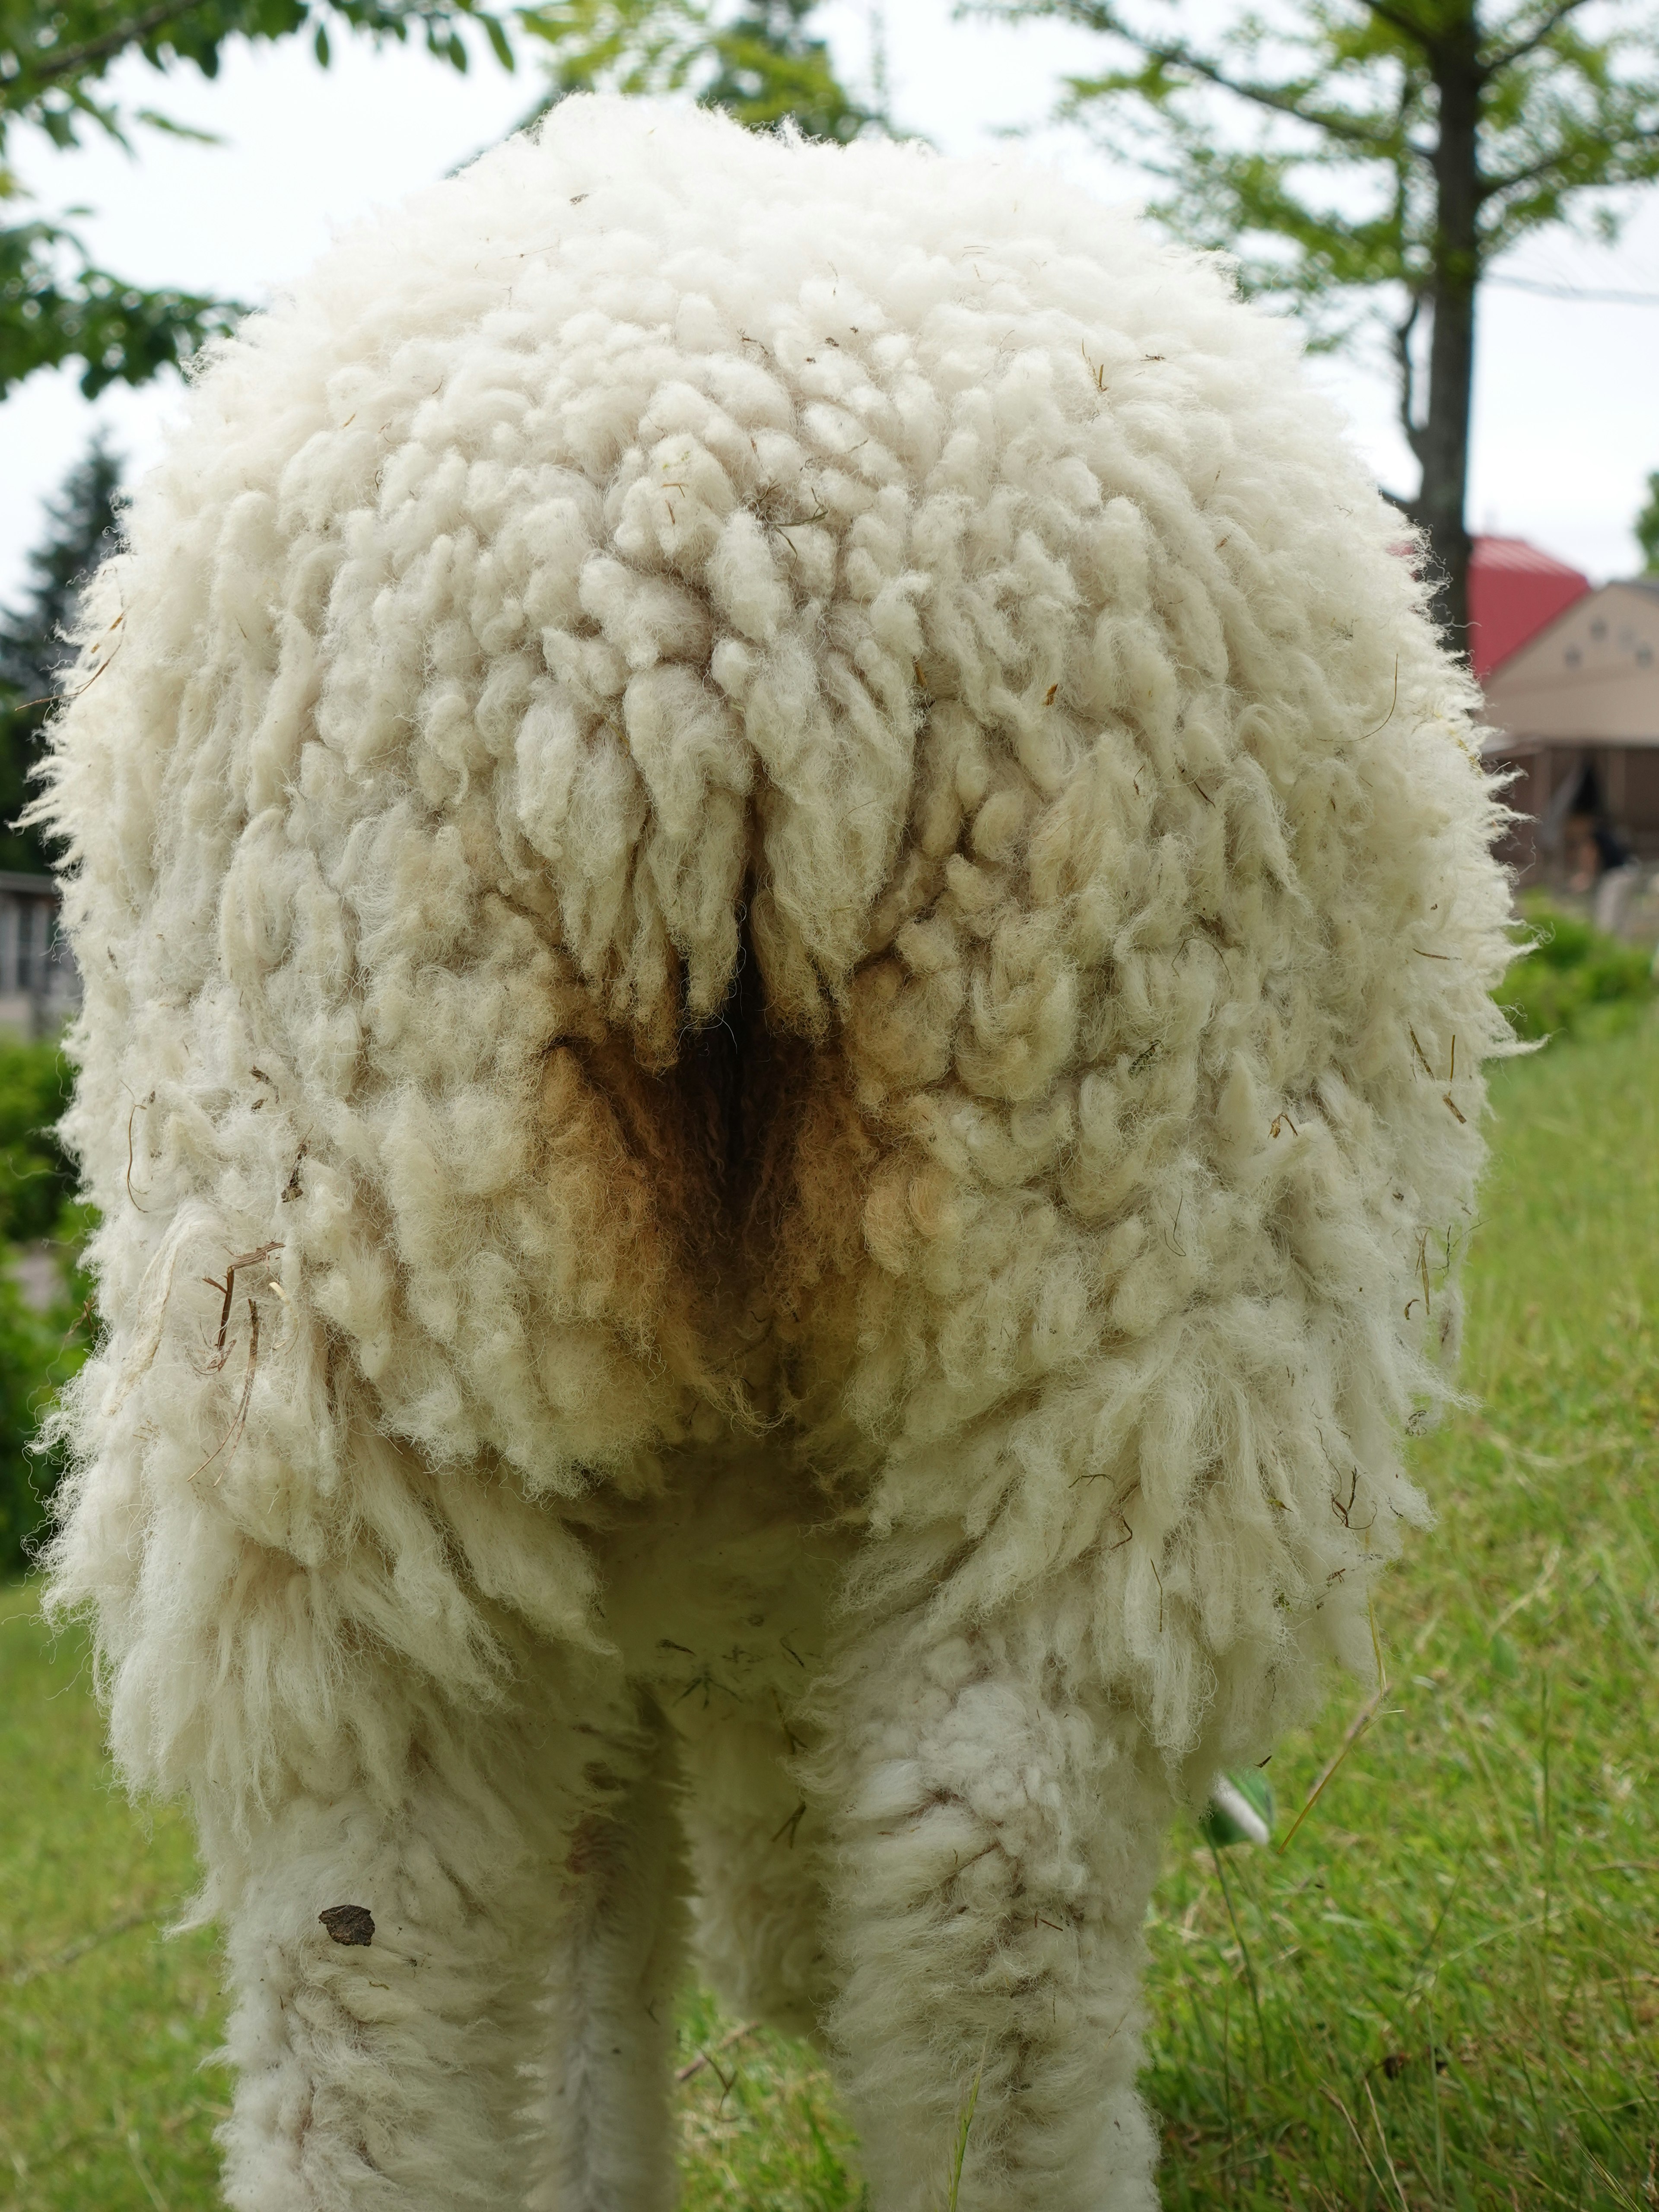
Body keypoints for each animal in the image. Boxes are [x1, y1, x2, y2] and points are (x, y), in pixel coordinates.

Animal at [39, 95, 1522, 2212]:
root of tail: (706, 568)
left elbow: (594, 1898)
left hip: (333, 1245)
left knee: (367, 1922)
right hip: (1124, 1211)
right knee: (989, 1844)